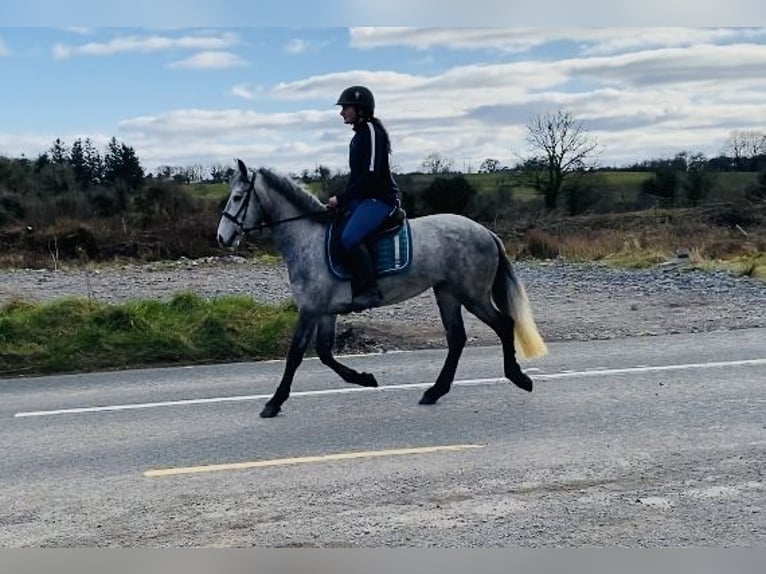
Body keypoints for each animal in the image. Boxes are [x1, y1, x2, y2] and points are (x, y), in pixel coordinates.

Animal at [219, 159, 548, 418]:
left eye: (237, 197)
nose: (222, 238)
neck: (307, 238)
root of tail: (486, 232)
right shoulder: (324, 311)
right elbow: (324, 353)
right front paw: (365, 378)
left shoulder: (310, 309)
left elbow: (296, 355)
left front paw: (274, 403)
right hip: (448, 293)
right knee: (457, 338)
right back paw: (434, 391)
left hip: (472, 294)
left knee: (504, 325)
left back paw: (518, 378)